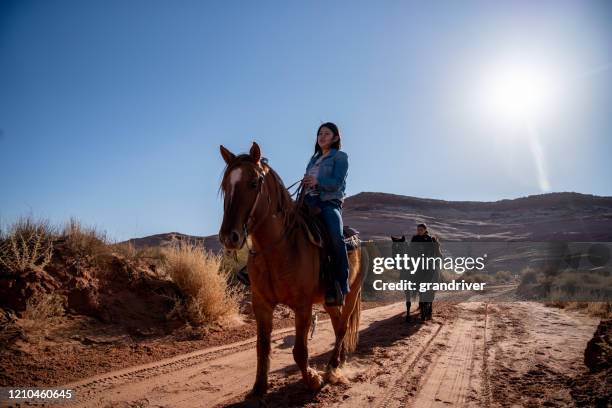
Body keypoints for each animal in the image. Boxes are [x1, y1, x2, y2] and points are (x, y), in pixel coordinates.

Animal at [220, 143, 364, 402]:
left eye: (253, 183)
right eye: (225, 185)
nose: (229, 236)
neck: (278, 247)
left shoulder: (302, 306)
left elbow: (299, 350)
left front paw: (313, 380)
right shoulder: (261, 304)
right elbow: (262, 347)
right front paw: (258, 388)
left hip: (351, 292)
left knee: (343, 327)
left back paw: (331, 368)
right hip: (329, 300)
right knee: (337, 324)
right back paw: (337, 362)